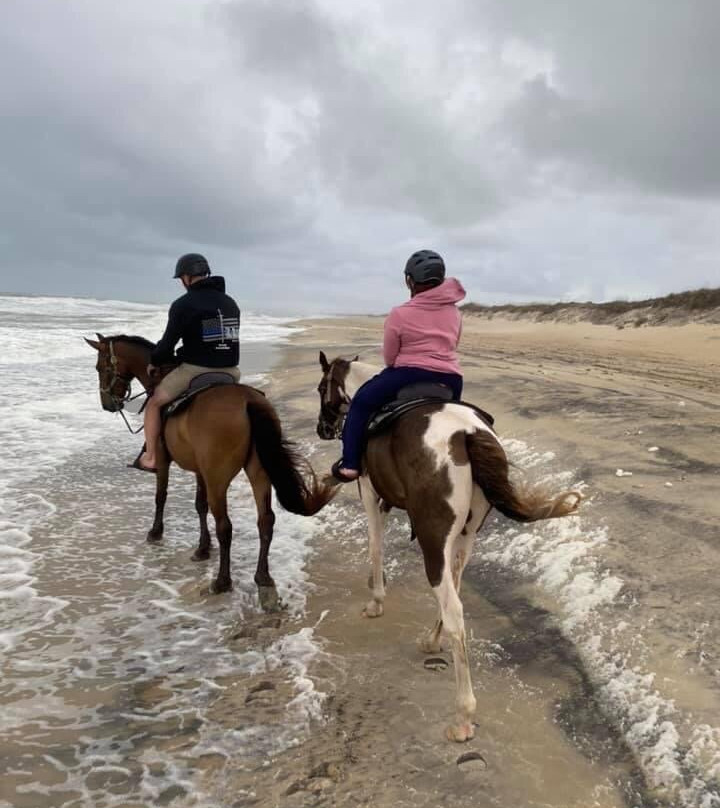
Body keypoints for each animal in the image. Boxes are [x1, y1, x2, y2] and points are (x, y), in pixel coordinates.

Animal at [86, 334, 336, 592]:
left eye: (100, 367)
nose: (107, 404)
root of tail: (248, 402)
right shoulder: (200, 470)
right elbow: (200, 505)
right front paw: (203, 548)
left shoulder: (165, 461)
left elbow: (161, 496)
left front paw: (156, 532)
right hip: (258, 471)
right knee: (265, 520)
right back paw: (262, 576)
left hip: (218, 478)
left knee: (225, 526)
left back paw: (222, 581)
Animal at [316, 354, 584, 744]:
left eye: (321, 387)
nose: (322, 428)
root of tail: (467, 433)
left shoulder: (368, 489)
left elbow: (375, 546)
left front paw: (376, 601)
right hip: (465, 537)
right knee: (454, 586)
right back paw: (431, 639)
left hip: (433, 536)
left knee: (454, 609)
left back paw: (463, 715)